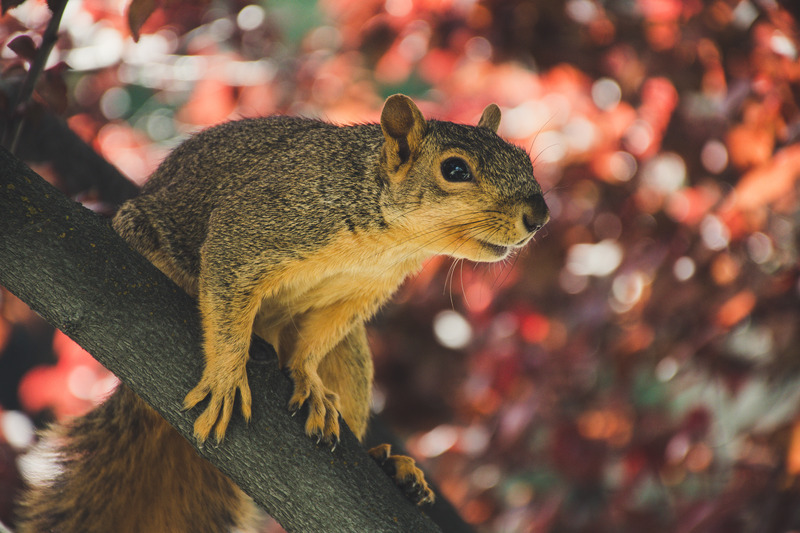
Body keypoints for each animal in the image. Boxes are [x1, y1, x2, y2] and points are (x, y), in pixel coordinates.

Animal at [14, 93, 552, 528]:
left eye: (525, 159)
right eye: (455, 169)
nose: (539, 216)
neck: (390, 243)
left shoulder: (357, 296)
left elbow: (313, 343)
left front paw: (308, 382)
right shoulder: (255, 224)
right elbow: (226, 284)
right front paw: (227, 374)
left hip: (352, 361)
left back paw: (390, 465)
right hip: (144, 233)